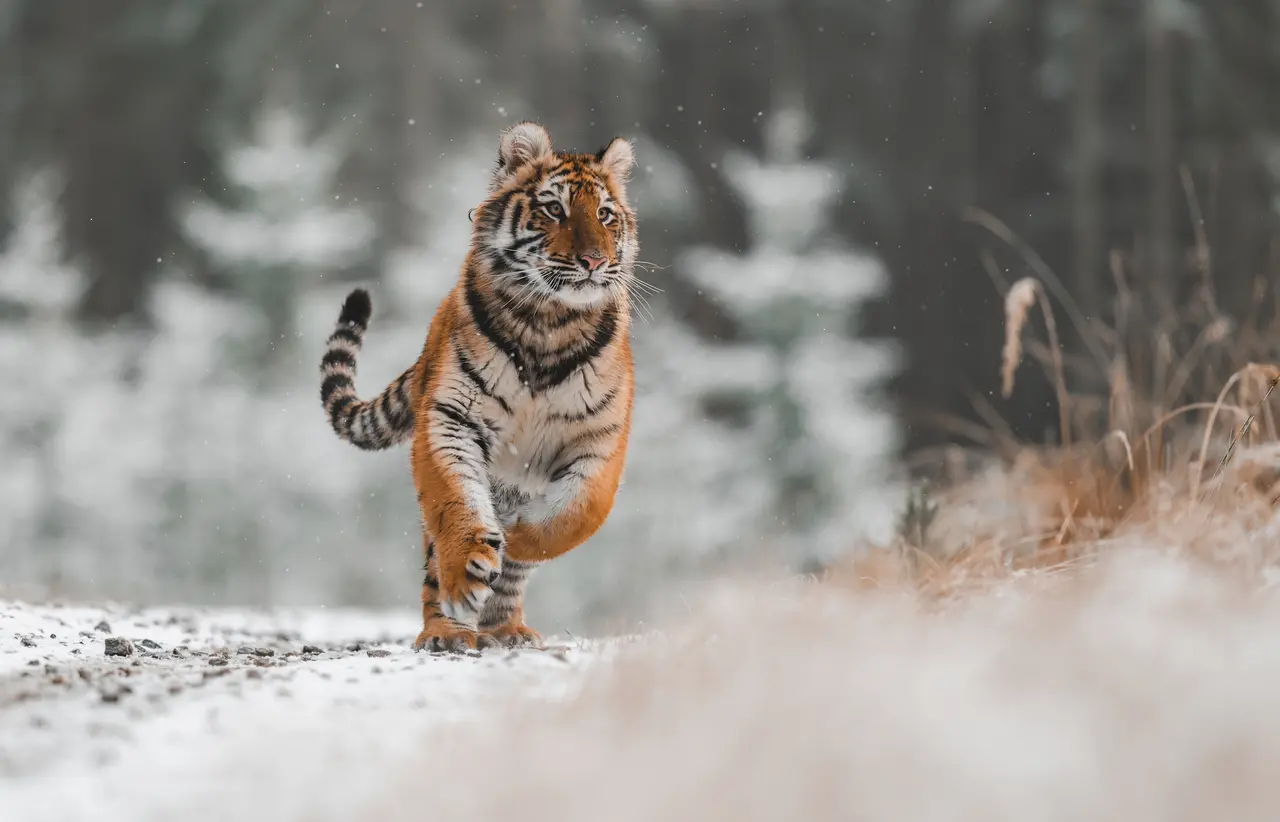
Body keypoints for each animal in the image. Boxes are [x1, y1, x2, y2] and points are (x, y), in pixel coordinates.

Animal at [318, 122, 638, 652]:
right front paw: (469, 569)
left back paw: (506, 628)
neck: (549, 321)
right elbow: (457, 500)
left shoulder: (599, 440)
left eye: (605, 215)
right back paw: (447, 631)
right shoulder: (452, 417)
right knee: (434, 567)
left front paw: (517, 539)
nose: (594, 261)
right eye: (555, 209)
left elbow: (574, 516)